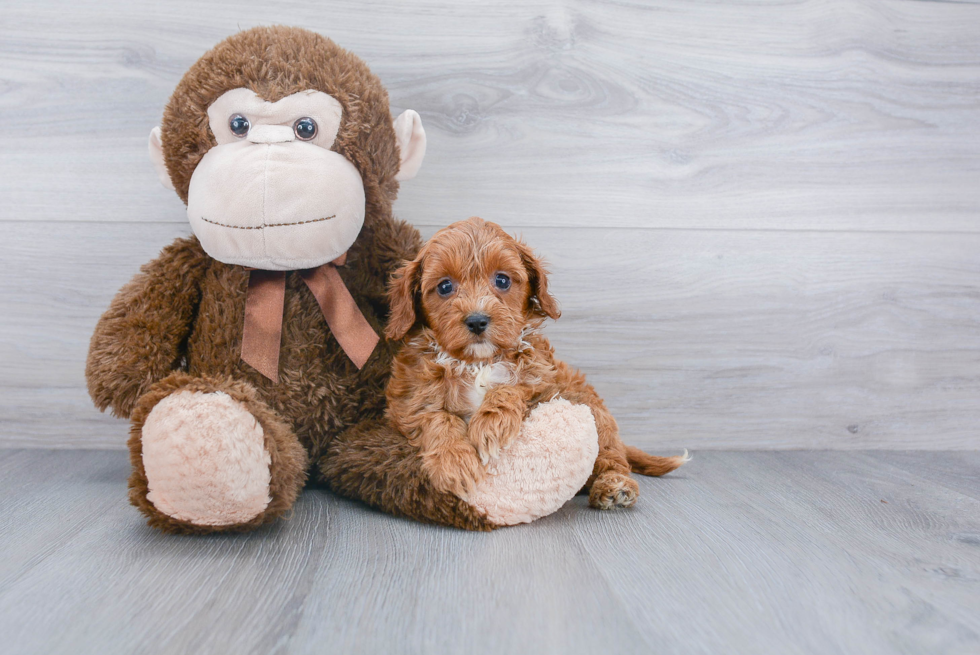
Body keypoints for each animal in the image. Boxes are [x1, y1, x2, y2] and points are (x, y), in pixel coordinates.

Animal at [378, 218, 684, 510]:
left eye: (502, 280)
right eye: (444, 286)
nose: (477, 320)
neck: (479, 362)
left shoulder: (545, 386)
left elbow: (513, 388)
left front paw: (491, 425)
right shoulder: (409, 400)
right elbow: (436, 417)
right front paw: (454, 463)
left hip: (596, 415)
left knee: (612, 458)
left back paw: (615, 486)